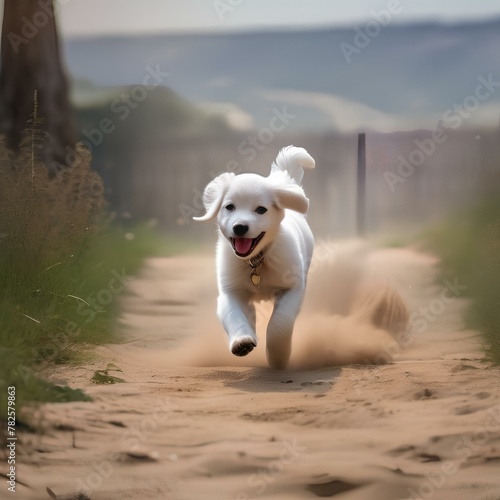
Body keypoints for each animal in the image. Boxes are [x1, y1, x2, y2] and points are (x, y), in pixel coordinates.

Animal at [193, 145, 314, 368]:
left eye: (261, 210)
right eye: (229, 207)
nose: (240, 227)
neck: (255, 261)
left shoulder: (292, 288)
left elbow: (280, 322)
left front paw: (278, 355)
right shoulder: (230, 291)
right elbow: (235, 316)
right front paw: (242, 341)